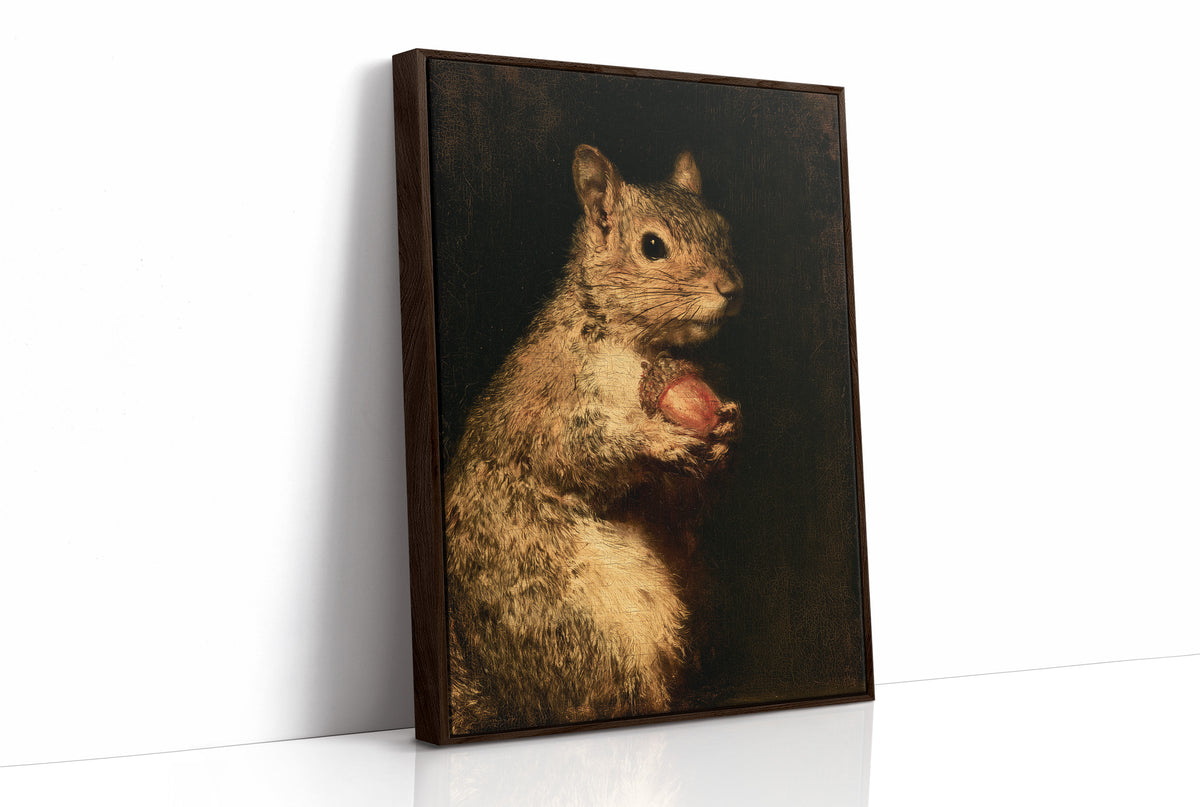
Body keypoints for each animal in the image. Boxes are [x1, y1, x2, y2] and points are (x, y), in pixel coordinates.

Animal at [444, 144, 744, 734]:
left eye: (723, 227)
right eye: (652, 246)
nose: (731, 287)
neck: (636, 342)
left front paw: (726, 428)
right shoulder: (551, 408)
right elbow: (580, 452)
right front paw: (657, 441)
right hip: (586, 625)